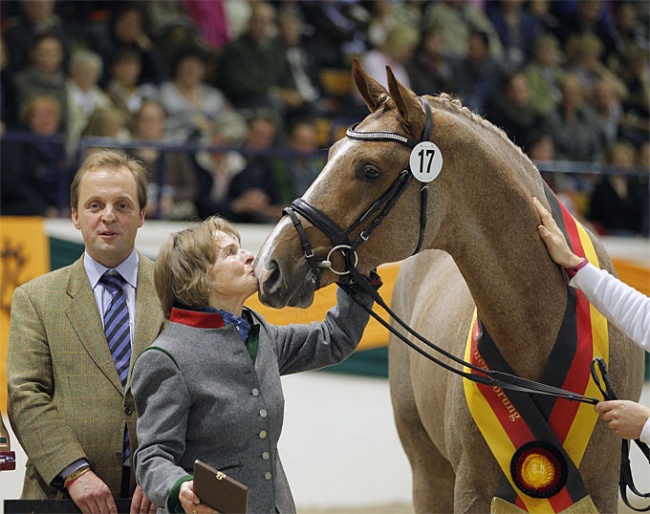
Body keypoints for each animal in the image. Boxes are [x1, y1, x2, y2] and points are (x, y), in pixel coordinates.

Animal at [251, 62, 640, 510]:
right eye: (330, 154)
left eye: (369, 170)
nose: (268, 266)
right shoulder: (470, 489)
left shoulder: (602, 491)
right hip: (428, 471)